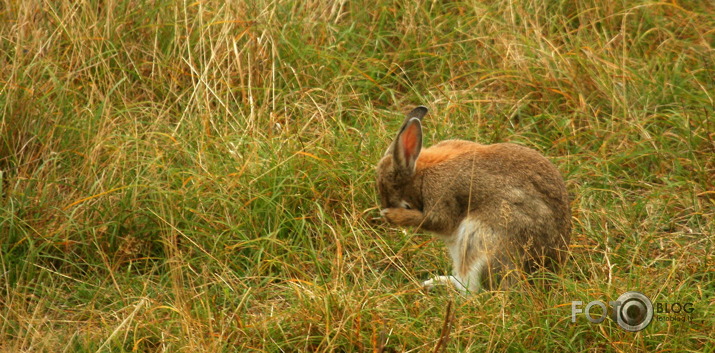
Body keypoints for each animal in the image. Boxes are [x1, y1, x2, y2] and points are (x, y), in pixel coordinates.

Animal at [374, 105, 572, 292]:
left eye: (404, 204)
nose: (385, 213)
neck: (421, 173)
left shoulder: (442, 198)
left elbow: (436, 221)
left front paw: (391, 214)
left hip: (480, 242)